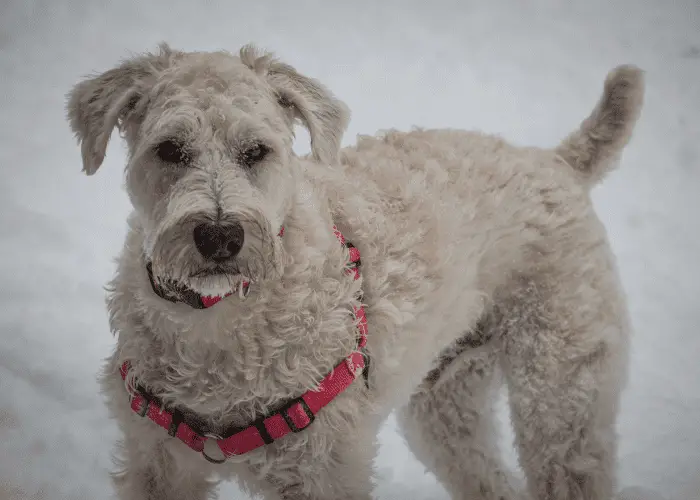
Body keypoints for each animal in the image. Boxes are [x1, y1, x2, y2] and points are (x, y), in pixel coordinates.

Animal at [67, 44, 644, 500]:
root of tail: (558, 162)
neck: (218, 317)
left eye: (256, 151)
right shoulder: (157, 461)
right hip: (446, 403)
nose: (220, 236)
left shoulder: (325, 467)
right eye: (169, 149)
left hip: (561, 392)